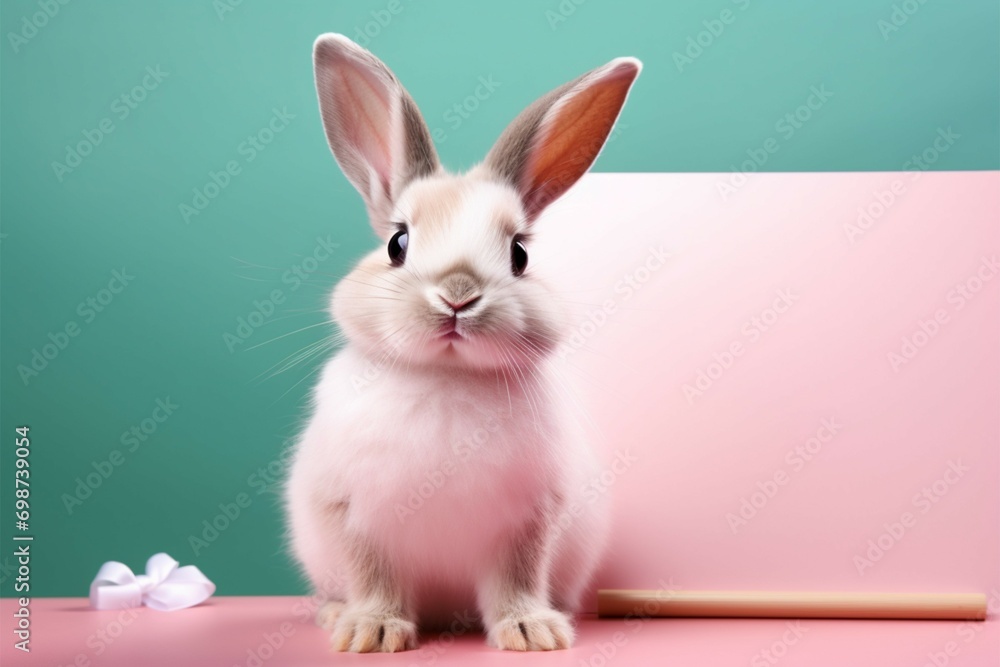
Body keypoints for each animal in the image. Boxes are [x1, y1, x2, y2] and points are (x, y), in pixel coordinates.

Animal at [284, 33, 641, 653]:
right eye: (397, 244)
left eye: (519, 255)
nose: (457, 294)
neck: (446, 376)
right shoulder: (350, 514)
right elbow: (372, 575)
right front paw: (372, 632)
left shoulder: (528, 519)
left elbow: (517, 577)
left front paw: (531, 632)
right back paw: (335, 615)